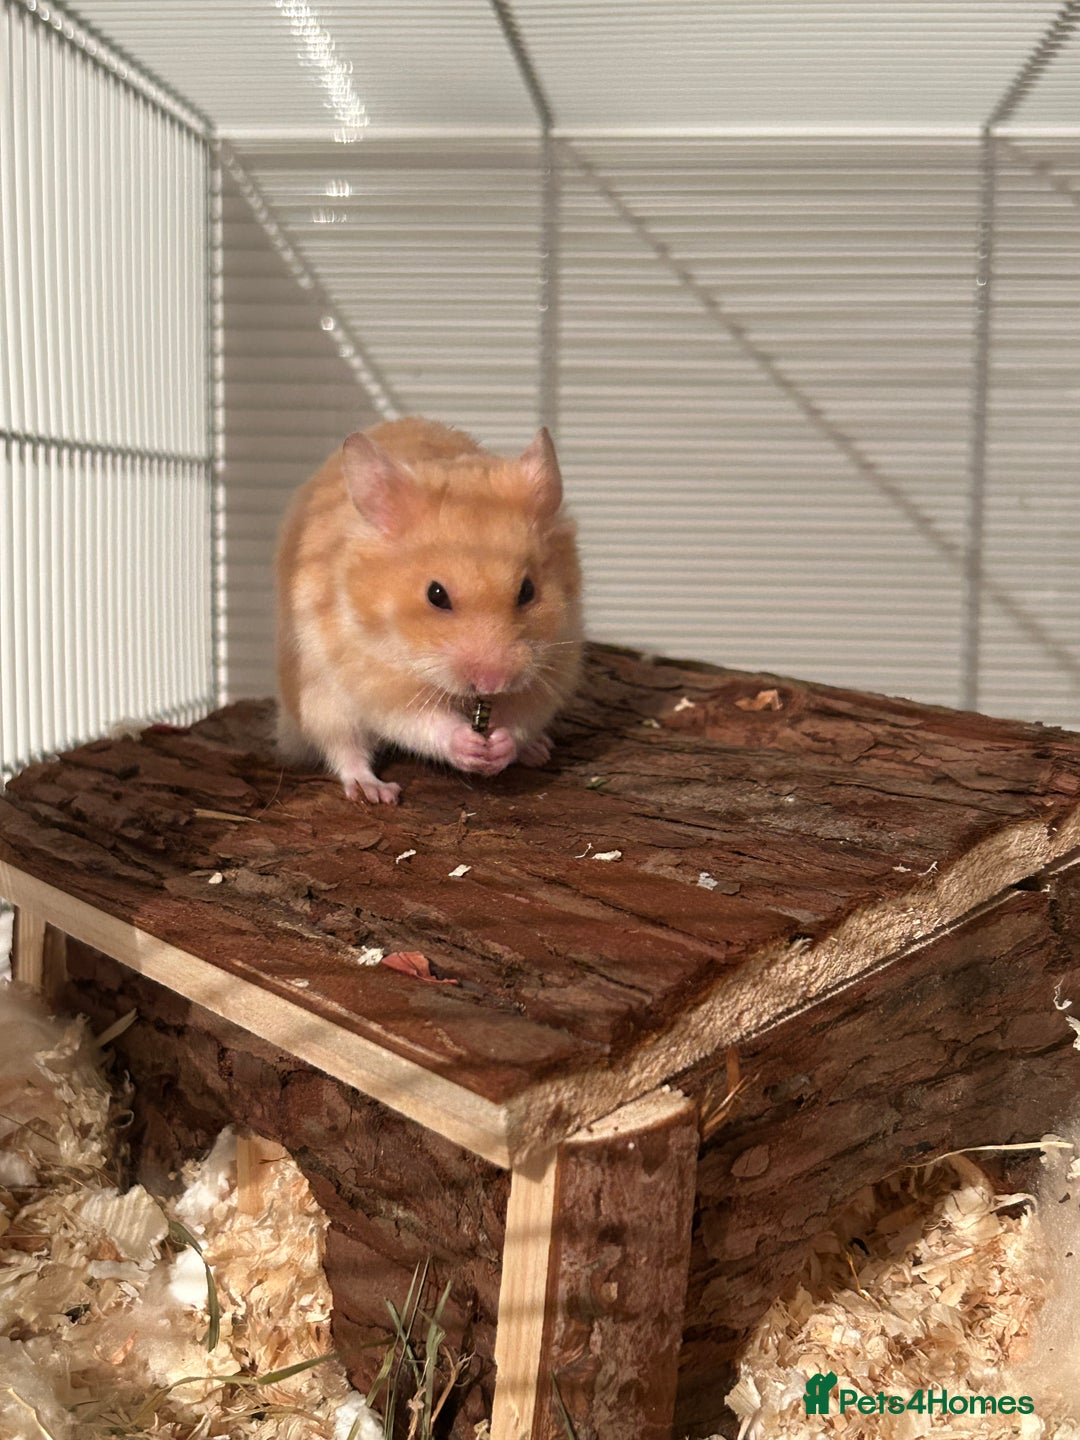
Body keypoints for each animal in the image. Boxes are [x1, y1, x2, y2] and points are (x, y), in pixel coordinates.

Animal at [275, 417, 584, 804]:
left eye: (527, 591)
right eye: (436, 595)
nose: (494, 682)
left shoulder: (556, 663)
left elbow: (520, 718)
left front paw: (498, 746)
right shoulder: (372, 675)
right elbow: (421, 721)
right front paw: (469, 746)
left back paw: (538, 751)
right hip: (319, 700)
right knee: (344, 749)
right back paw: (375, 792)